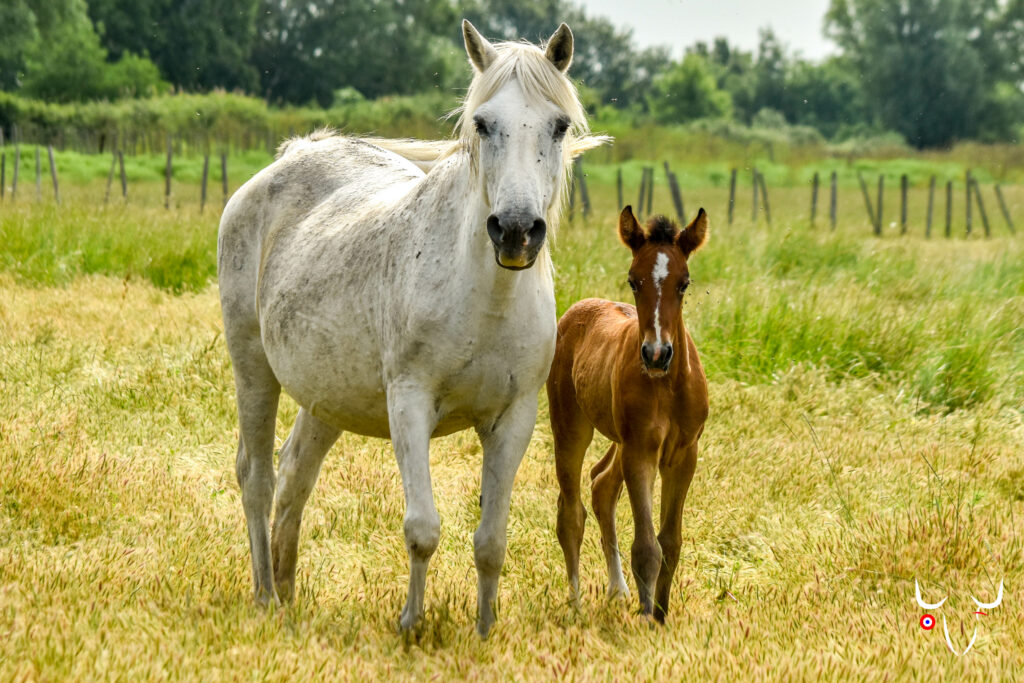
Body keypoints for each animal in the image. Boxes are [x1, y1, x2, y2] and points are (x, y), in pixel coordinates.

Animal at [212, 21, 602, 638]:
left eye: (559, 125)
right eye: (481, 123)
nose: (516, 231)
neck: (486, 298)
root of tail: (291, 157)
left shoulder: (513, 418)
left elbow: (491, 541)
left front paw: (484, 631)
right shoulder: (411, 404)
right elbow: (423, 528)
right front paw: (411, 624)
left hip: (327, 396)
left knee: (295, 473)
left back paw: (290, 592)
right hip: (252, 367)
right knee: (257, 478)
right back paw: (267, 596)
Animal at [548, 205, 708, 622]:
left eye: (684, 283)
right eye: (634, 281)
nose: (656, 353)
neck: (667, 385)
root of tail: (578, 309)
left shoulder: (684, 454)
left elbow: (671, 541)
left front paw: (661, 614)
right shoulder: (641, 451)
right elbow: (648, 546)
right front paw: (646, 615)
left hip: (619, 439)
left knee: (602, 485)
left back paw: (617, 590)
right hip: (571, 427)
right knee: (571, 512)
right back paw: (576, 603)